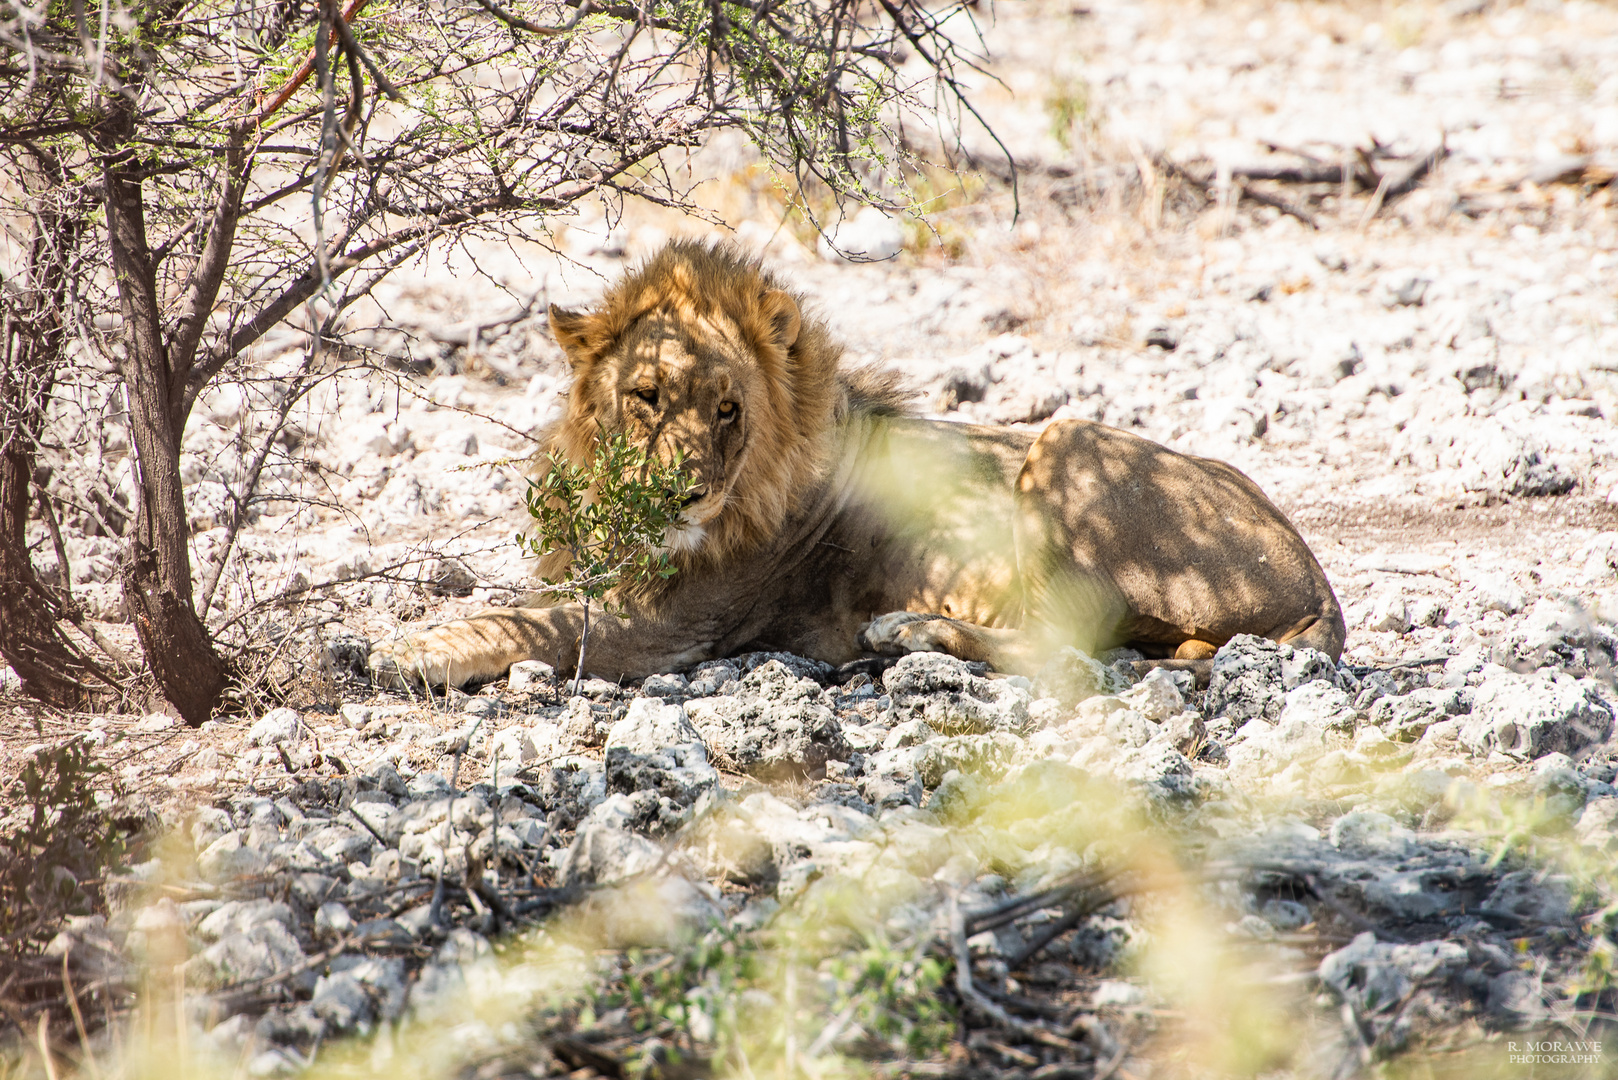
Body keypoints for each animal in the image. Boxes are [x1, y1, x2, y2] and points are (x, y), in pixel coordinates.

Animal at [372, 239, 1346, 689]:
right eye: (646, 394)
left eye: (729, 409)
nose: (685, 495)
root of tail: (1321, 588)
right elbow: (523, 600)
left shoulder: (670, 629)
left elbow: (524, 623)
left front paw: (408, 648)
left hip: (1068, 440)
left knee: (1068, 643)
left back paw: (908, 632)